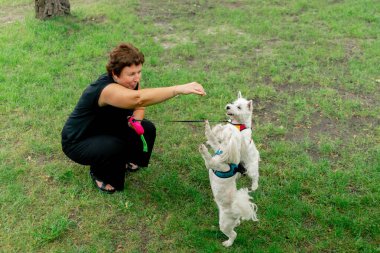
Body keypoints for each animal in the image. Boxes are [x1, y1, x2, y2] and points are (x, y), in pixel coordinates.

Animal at [200, 91, 260, 247]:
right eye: (232, 103)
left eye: (238, 107)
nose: (228, 106)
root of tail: (236, 209)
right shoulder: (218, 146)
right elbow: (213, 139)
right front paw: (209, 127)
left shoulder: (215, 163)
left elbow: (210, 159)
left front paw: (204, 149)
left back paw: (228, 243)